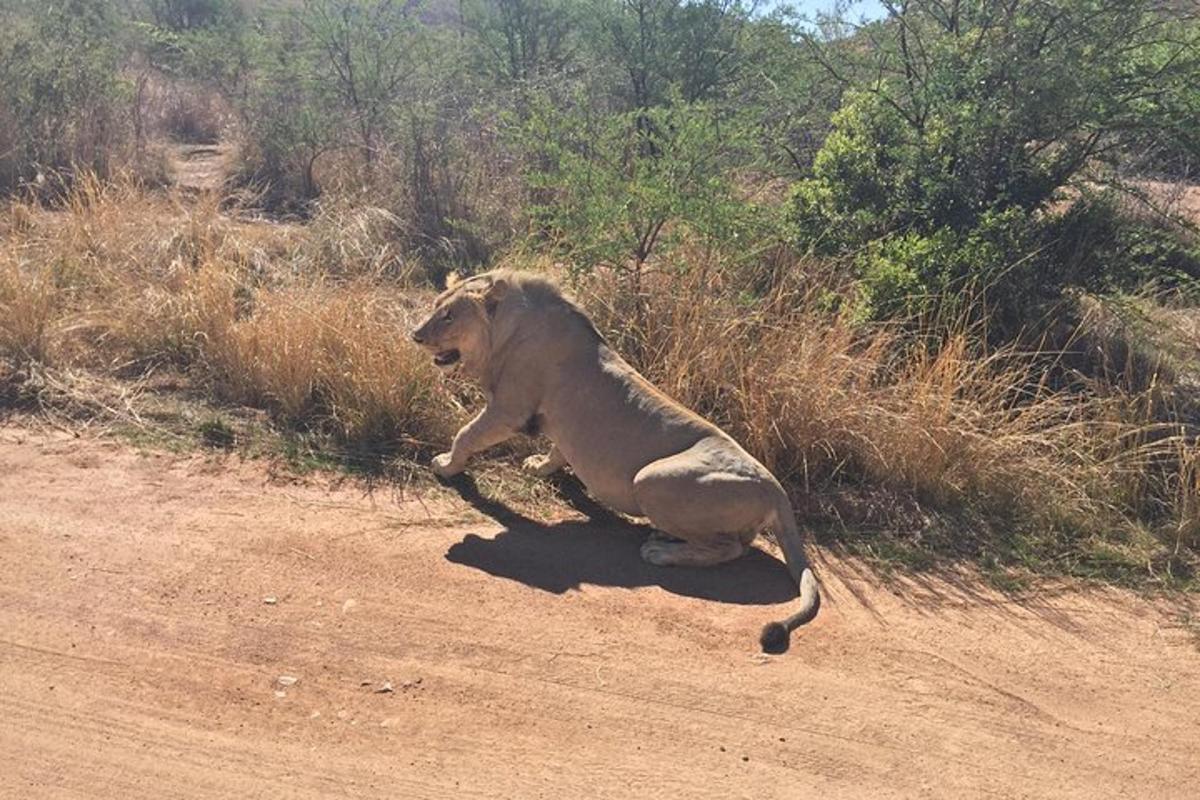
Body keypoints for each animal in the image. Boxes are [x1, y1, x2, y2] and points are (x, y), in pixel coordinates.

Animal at [410, 268, 816, 652]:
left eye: (449, 316)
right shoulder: (558, 424)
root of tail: (776, 489)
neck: (506, 330)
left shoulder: (510, 409)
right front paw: (538, 465)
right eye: (436, 306)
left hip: (651, 481)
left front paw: (445, 465)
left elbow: (466, 434)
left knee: (731, 548)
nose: (415, 335)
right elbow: (557, 450)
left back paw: (660, 551)